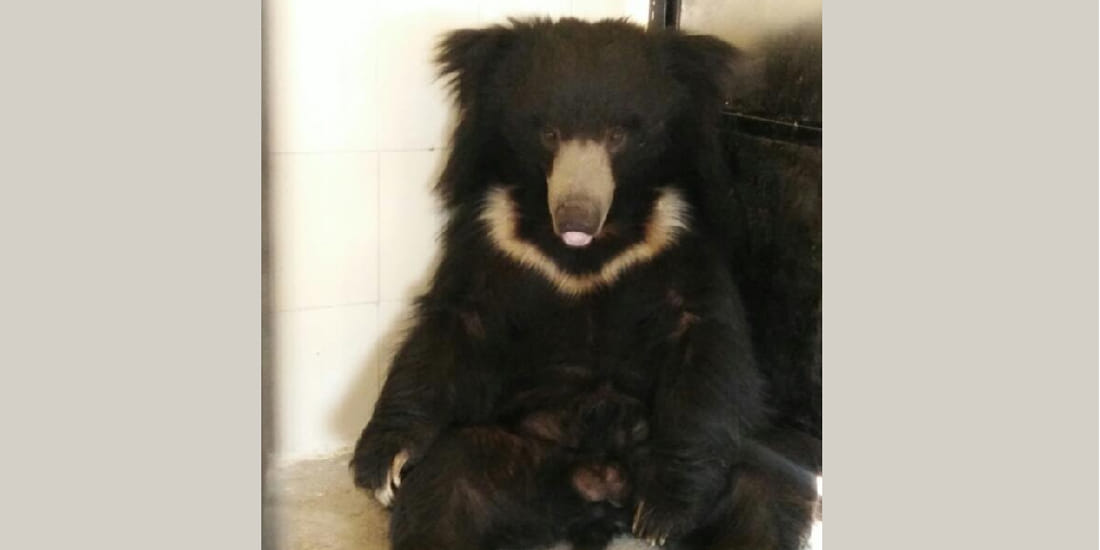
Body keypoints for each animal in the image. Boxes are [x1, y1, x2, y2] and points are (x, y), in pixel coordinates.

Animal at [350, 17, 820, 550]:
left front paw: (664, 514)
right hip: (520, 460)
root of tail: (598, 496)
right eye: (549, 133)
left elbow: (705, 344)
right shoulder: (494, 235)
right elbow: (453, 328)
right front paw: (384, 466)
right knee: (449, 484)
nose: (575, 218)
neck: (589, 250)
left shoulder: (680, 234)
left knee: (763, 489)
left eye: (619, 135)